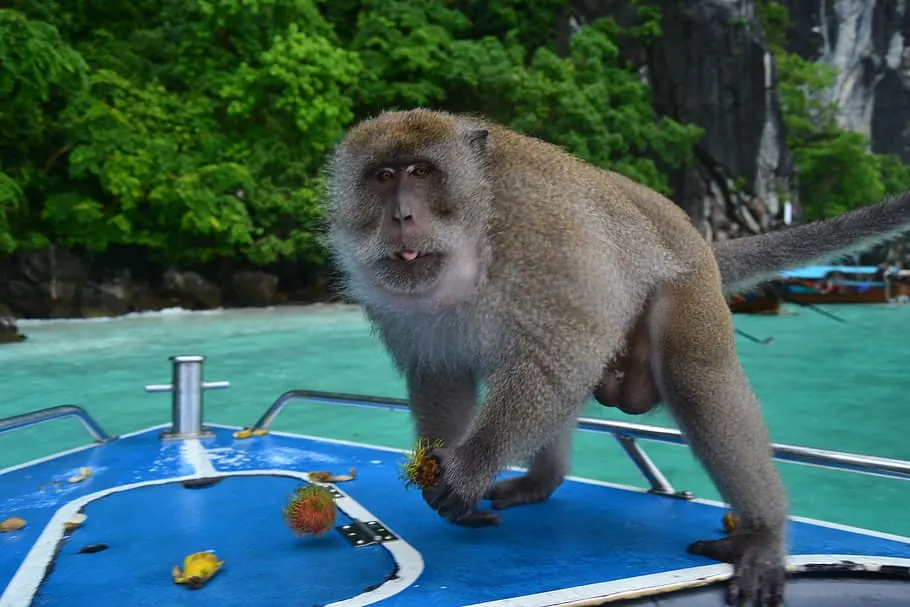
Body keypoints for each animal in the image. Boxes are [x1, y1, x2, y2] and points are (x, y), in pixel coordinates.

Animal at [324, 108, 910, 607]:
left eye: (421, 172)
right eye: (383, 176)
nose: (402, 215)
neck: (473, 234)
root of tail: (698, 238)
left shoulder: (541, 229)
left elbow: (565, 346)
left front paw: (468, 467)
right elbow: (444, 375)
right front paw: (442, 471)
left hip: (688, 290)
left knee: (694, 381)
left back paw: (764, 534)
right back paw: (543, 481)